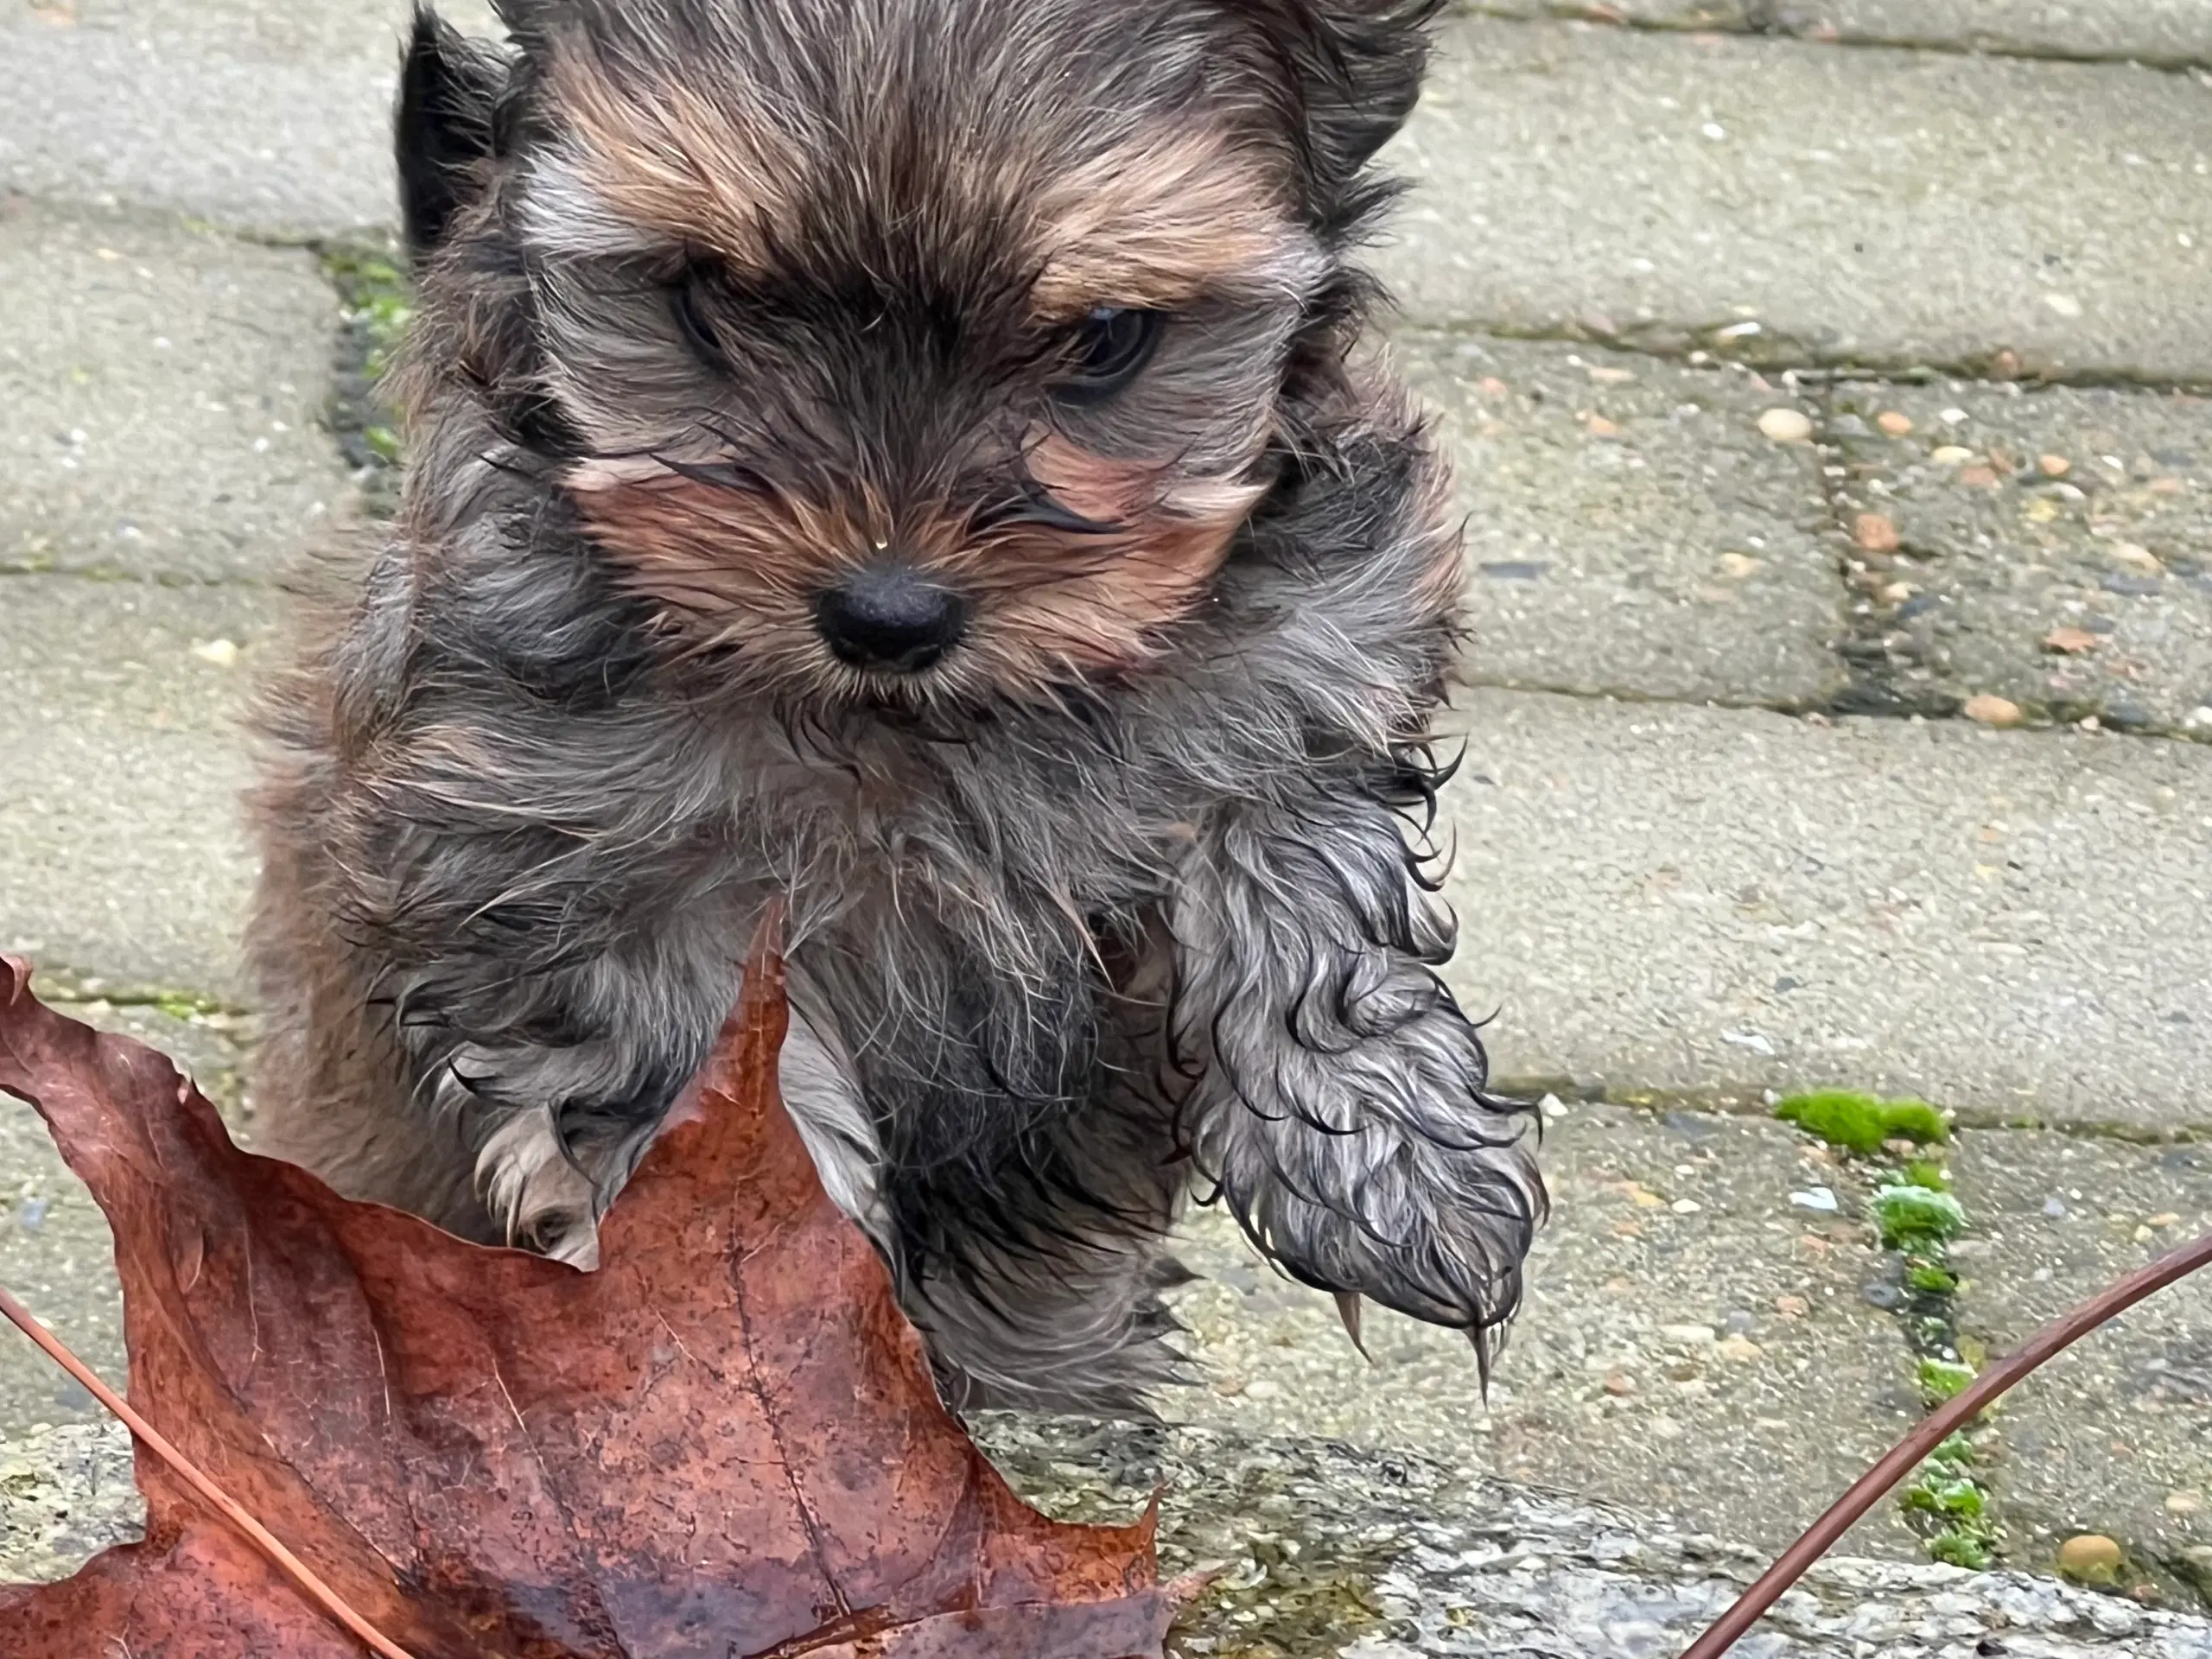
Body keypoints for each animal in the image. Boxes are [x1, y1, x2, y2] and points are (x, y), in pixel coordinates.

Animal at [251, 0, 1548, 1415]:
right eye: (710, 297)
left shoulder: (1308, 653)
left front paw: (1390, 1169)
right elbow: (726, 1107)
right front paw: (786, 1343)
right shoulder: (582, 850)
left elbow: (1305, 875)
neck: (909, 727)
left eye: (1107, 337)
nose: (887, 612)